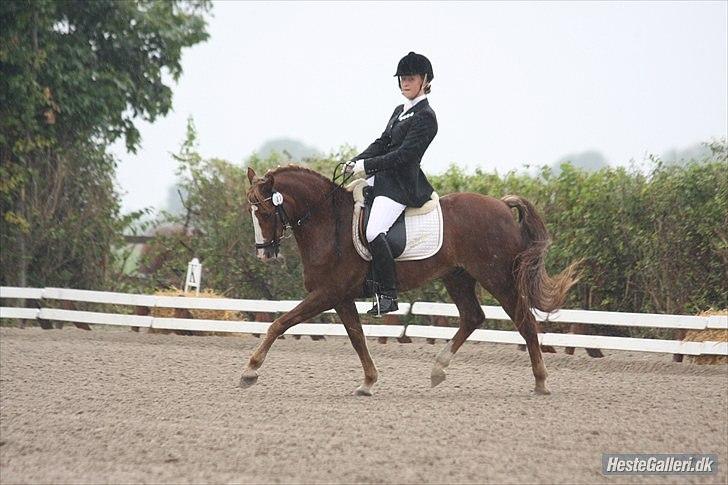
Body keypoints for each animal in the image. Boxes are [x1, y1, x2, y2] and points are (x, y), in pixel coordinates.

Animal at [241, 164, 579, 396]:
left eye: (267, 212)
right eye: (250, 211)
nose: (264, 254)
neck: (329, 223)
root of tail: (502, 205)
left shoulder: (327, 293)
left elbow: (280, 323)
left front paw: (250, 371)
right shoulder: (341, 297)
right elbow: (357, 338)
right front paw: (368, 382)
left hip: (497, 278)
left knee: (524, 321)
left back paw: (541, 382)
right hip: (457, 277)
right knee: (473, 316)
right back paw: (438, 370)